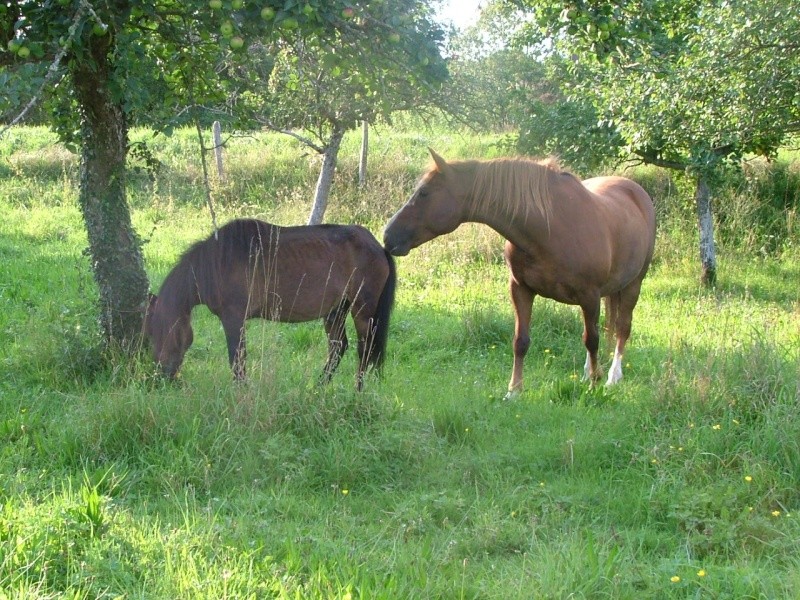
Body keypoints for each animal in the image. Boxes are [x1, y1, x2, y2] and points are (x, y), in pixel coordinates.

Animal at [146, 218, 396, 392]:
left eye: (162, 332)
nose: (161, 378)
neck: (217, 262)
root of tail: (377, 246)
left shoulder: (233, 318)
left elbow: (237, 358)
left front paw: (241, 392)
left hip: (362, 310)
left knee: (364, 348)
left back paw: (358, 390)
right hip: (336, 311)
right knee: (338, 347)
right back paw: (318, 388)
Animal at [382, 148, 656, 396]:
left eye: (424, 193)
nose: (387, 236)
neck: (549, 228)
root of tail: (636, 191)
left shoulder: (589, 295)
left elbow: (592, 339)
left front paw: (594, 385)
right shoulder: (521, 289)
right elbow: (520, 341)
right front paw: (514, 391)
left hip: (634, 284)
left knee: (621, 328)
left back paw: (612, 376)